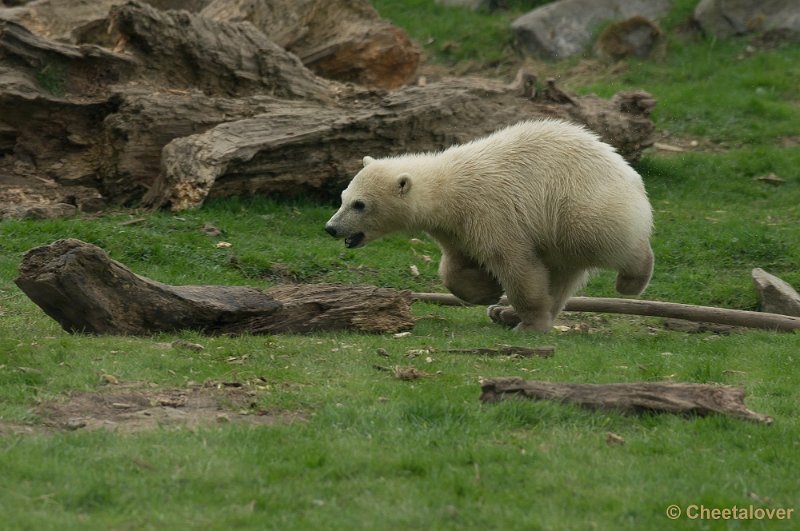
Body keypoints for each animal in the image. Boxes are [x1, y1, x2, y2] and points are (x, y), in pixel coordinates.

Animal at [322, 120, 652, 332]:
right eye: (343, 197)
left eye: (359, 204)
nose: (331, 228)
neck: (449, 188)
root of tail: (626, 170)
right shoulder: (457, 227)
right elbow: (454, 266)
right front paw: (489, 294)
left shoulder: (492, 212)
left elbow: (515, 263)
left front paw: (529, 323)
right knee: (561, 272)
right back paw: (505, 313)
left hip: (575, 203)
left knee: (600, 237)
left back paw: (633, 277)